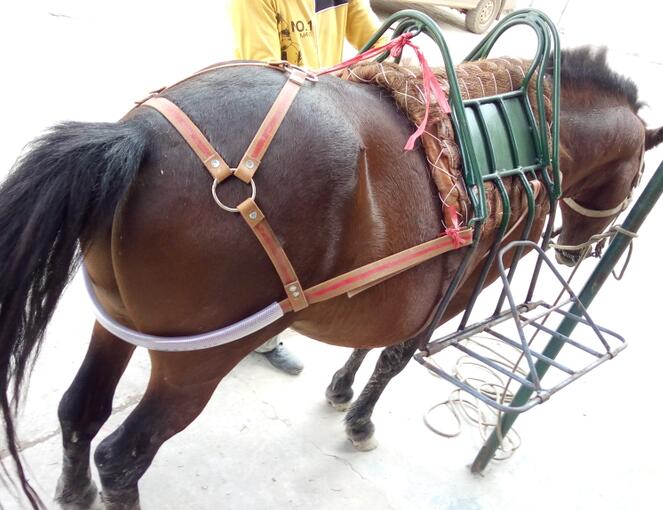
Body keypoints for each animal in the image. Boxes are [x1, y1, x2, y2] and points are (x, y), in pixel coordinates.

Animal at [0, 45, 661, 510]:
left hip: (116, 323)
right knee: (123, 456)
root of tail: (137, 138)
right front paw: (360, 418)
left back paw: (74, 492)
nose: (578, 252)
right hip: (196, 363)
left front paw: (342, 388)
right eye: (635, 178)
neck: (523, 129)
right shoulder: (454, 292)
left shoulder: (404, 286)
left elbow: (374, 341)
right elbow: (395, 356)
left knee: (80, 411)